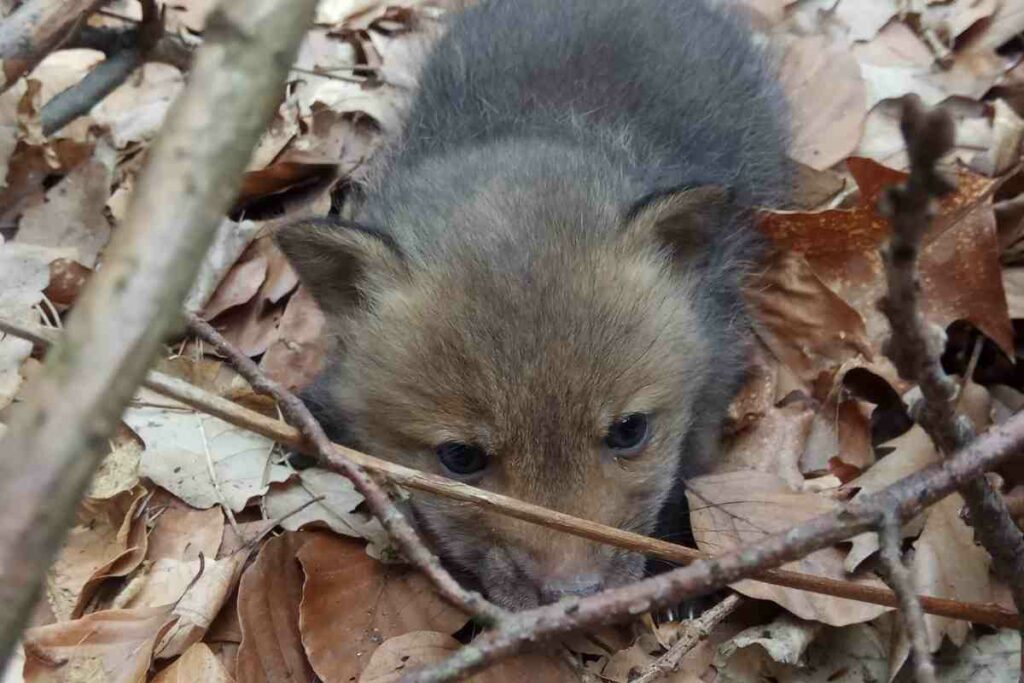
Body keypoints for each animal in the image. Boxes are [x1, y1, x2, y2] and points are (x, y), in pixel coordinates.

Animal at [276, 0, 790, 610]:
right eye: (460, 458)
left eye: (629, 431)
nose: (575, 591)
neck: (545, 121)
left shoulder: (716, 359)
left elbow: (690, 470)